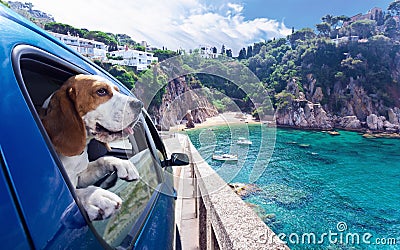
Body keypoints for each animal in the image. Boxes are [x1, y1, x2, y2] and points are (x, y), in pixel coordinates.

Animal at [41, 74, 142, 221]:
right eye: (101, 91)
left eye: (117, 90)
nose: (140, 104)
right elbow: (76, 194)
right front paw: (94, 196)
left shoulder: (81, 176)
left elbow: (102, 160)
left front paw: (123, 163)